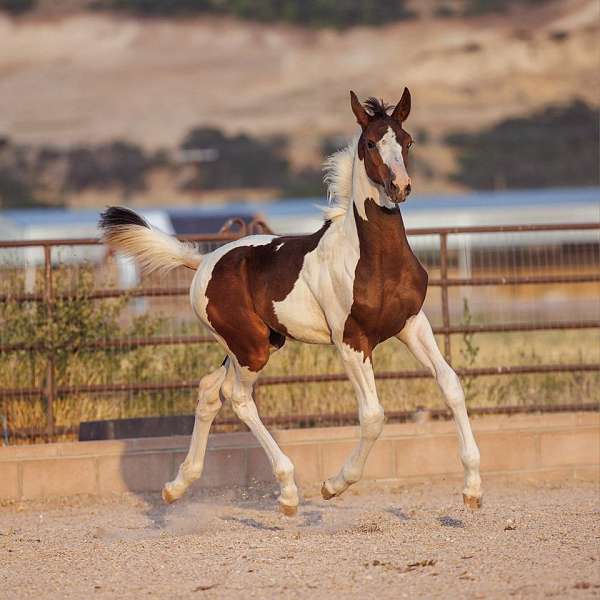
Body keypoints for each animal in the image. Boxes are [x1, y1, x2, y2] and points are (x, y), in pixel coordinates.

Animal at [98, 88, 482, 516]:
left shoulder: (412, 324)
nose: (400, 187)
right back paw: (287, 491)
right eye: (370, 143)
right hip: (250, 348)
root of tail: (205, 261)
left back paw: (176, 486)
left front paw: (472, 489)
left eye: (408, 141)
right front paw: (334, 485)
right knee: (237, 397)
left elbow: (451, 385)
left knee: (210, 389)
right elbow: (373, 416)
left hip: (255, 343)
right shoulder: (351, 342)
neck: (373, 257)